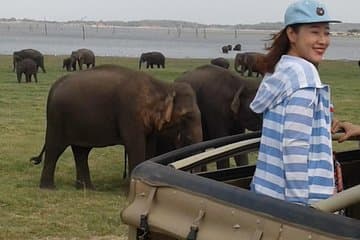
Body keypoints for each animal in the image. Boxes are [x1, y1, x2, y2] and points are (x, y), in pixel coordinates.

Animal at [30, 64, 202, 189]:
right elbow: (135, 145)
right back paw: (49, 188)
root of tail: (54, 86)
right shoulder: (129, 113)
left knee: (81, 151)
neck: (162, 86)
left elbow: (149, 146)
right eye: (187, 117)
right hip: (57, 118)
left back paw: (87, 188)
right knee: (55, 148)